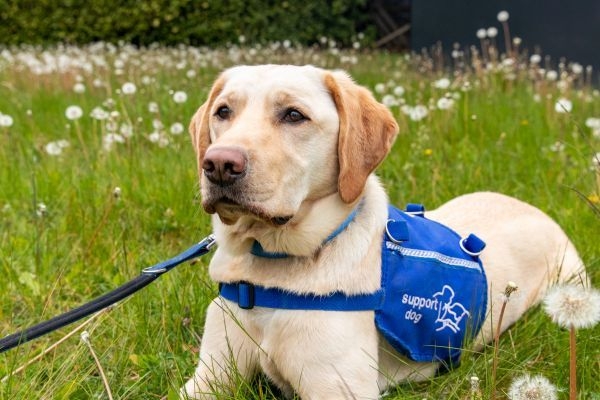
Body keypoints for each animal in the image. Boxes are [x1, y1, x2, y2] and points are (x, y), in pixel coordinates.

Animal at [183, 64, 584, 398]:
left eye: (294, 115)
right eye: (223, 112)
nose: (219, 164)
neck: (267, 266)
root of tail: (537, 209)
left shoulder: (339, 389)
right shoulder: (208, 377)